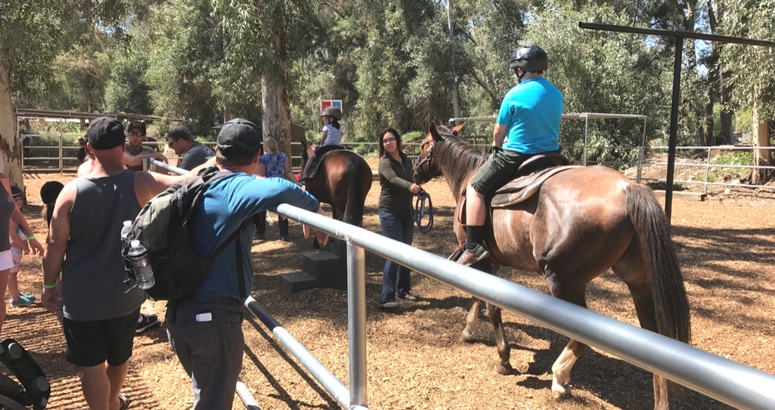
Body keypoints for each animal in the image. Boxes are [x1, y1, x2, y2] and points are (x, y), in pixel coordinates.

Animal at [412, 122, 692, 410]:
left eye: (423, 145)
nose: (414, 173)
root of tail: (627, 189)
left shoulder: (484, 260)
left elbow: (491, 306)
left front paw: (503, 358)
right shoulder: (492, 263)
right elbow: (479, 297)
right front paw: (469, 330)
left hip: (562, 281)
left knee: (582, 334)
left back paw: (559, 378)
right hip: (637, 281)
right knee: (655, 337)